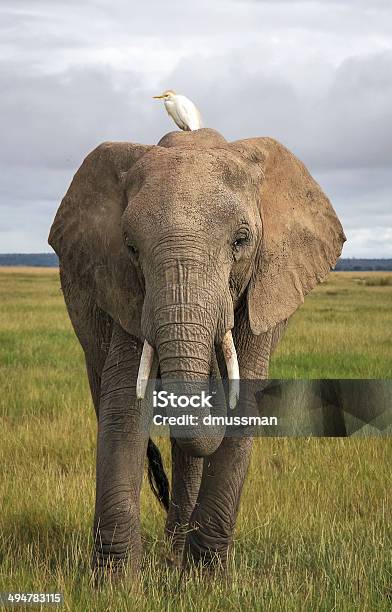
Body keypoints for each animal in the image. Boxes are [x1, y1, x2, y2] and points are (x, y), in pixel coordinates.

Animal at [47, 128, 344, 580]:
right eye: (130, 247)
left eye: (241, 240)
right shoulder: (126, 291)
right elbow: (123, 403)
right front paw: (115, 584)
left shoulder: (263, 287)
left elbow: (245, 400)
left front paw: (205, 580)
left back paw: (176, 551)